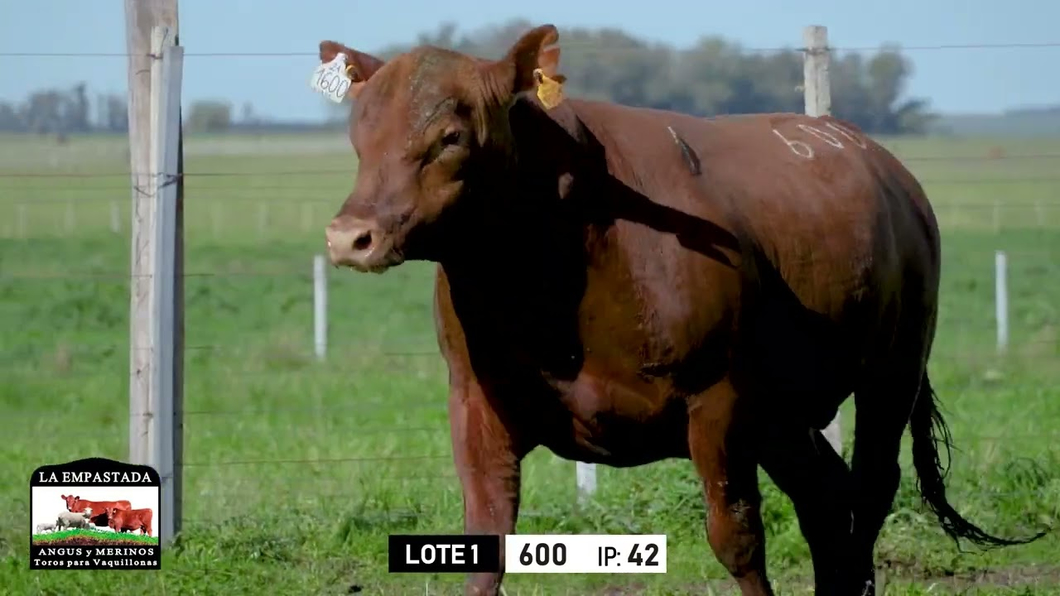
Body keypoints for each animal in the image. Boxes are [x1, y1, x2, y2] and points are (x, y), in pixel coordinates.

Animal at [311, 24, 1043, 593]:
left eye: (451, 136)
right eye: (359, 132)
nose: (350, 236)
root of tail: (883, 165)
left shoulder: (715, 402)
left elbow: (737, 539)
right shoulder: (475, 401)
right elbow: (485, 545)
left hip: (891, 372)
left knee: (868, 491)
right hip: (783, 413)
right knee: (827, 503)